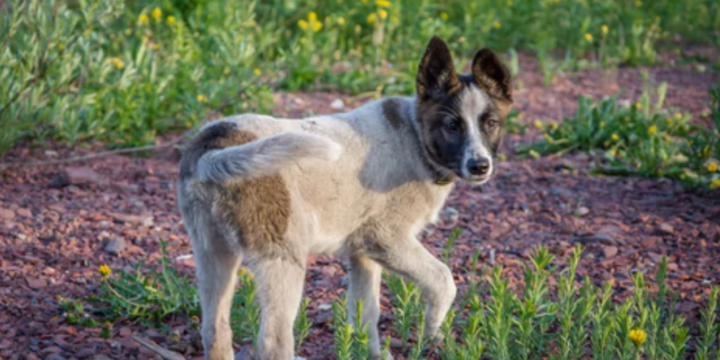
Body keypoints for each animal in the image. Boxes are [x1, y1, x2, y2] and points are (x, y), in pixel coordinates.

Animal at [179, 34, 512, 360]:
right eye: (452, 125)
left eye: (491, 124)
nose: (480, 166)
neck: (416, 139)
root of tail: (212, 149)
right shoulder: (385, 238)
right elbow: (443, 279)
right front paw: (432, 329)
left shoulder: (362, 252)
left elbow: (367, 314)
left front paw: (372, 353)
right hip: (283, 259)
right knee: (273, 343)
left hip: (213, 254)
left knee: (215, 333)